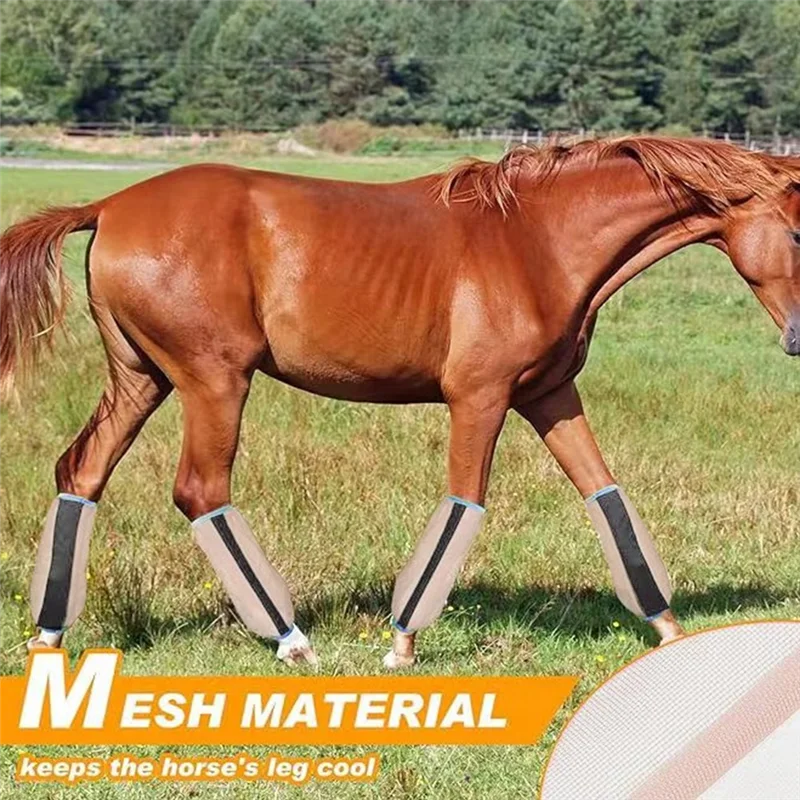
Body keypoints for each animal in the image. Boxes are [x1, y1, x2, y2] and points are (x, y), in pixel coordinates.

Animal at [1, 136, 798, 668]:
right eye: (795, 230)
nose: (797, 339)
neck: (533, 241)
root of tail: (107, 206)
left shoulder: (549, 395)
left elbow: (605, 494)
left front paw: (669, 629)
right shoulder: (478, 399)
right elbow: (463, 505)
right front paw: (402, 643)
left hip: (142, 380)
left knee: (80, 473)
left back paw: (49, 634)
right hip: (214, 382)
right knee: (200, 491)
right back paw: (291, 640)